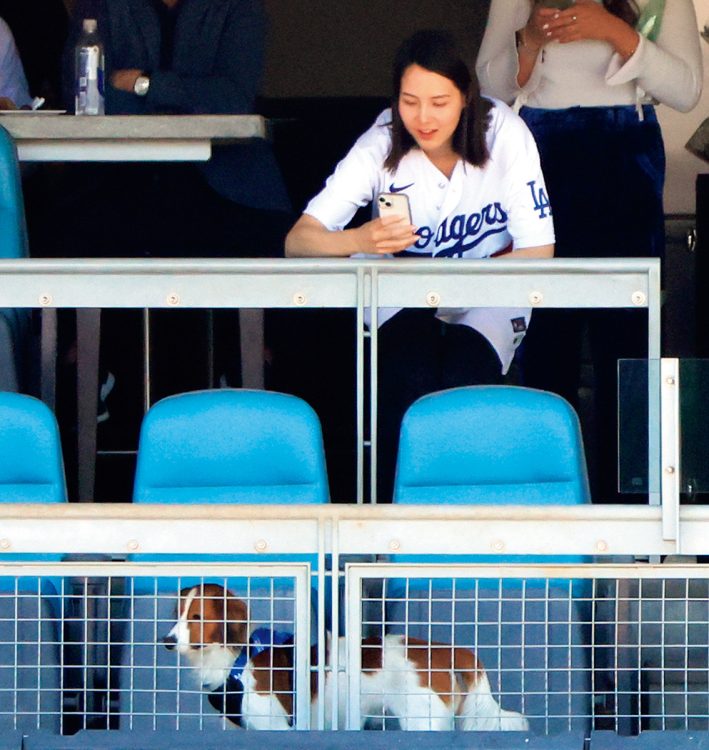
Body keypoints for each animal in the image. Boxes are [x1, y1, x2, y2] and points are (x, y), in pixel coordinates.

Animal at [163, 584, 528, 732]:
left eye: (196, 617)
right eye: (177, 614)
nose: (166, 641)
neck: (238, 659)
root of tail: (443, 649)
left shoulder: (274, 725)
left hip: (421, 721)